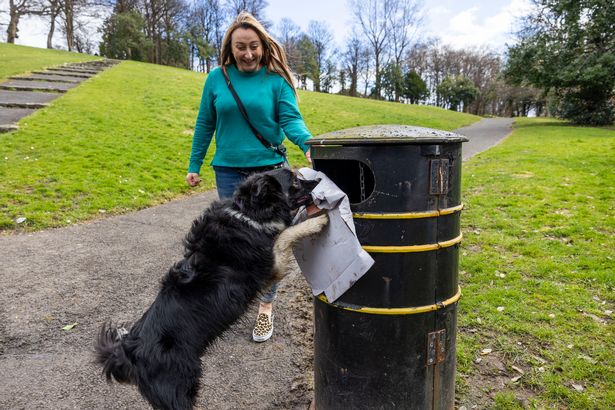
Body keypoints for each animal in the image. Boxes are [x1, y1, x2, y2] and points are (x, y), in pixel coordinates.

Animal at [95, 168, 328, 410]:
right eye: (295, 181)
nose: (319, 179)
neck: (249, 215)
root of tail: (128, 353)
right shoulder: (269, 266)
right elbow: (286, 234)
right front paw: (318, 220)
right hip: (178, 388)